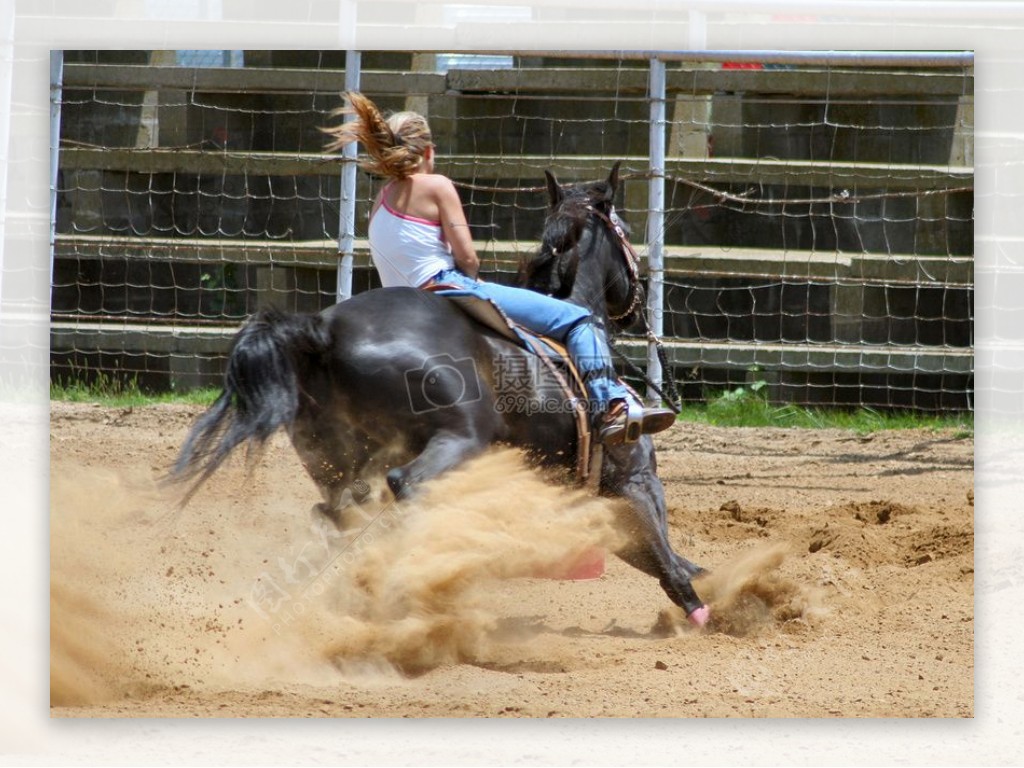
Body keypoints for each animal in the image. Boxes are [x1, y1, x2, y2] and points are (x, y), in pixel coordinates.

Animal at [169, 165, 712, 626]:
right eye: (625, 232)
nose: (635, 300)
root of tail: (325, 328)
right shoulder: (634, 480)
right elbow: (664, 555)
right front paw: (705, 608)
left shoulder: (597, 497)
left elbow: (659, 554)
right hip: (459, 438)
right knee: (405, 487)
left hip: (332, 458)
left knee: (339, 511)